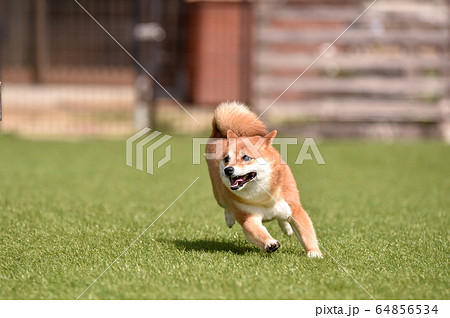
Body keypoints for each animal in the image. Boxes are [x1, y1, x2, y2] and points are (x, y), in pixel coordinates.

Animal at [206, 103, 322, 258]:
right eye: (226, 159)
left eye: (246, 157)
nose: (228, 169)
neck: (264, 197)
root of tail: (219, 133)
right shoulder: (248, 218)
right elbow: (259, 232)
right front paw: (270, 243)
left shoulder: (295, 209)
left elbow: (306, 234)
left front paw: (314, 252)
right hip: (219, 195)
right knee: (226, 205)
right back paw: (229, 218)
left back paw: (286, 228)